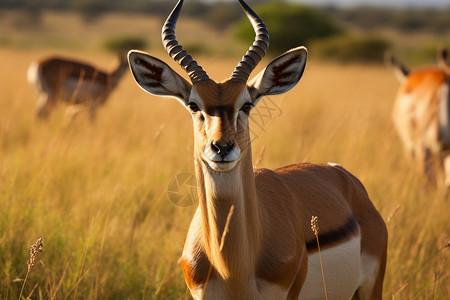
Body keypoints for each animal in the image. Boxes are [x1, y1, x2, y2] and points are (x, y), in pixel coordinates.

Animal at [128, 0, 388, 298]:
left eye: (247, 104)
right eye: (193, 105)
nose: (222, 148)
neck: (233, 268)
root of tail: (346, 177)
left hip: (371, 288)